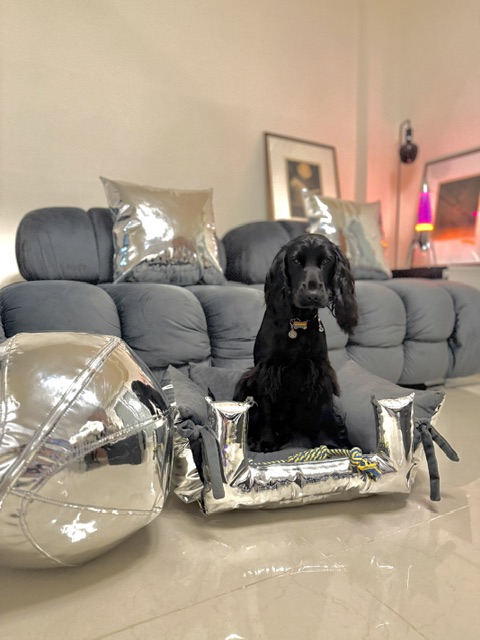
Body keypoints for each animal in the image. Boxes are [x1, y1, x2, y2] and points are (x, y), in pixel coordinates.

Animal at [233, 233, 358, 453]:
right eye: (296, 261)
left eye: (326, 261)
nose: (313, 295)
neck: (299, 323)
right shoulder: (267, 372)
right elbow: (266, 408)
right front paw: (266, 442)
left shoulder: (319, 371)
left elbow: (324, 409)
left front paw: (328, 443)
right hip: (245, 383)